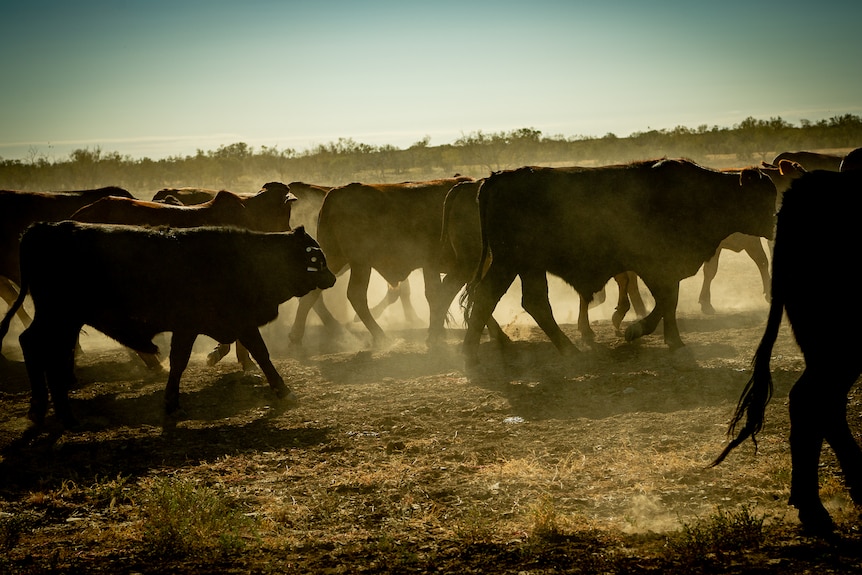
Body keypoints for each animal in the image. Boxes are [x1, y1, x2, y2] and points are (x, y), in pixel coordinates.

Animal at [0, 220, 336, 428]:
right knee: (41, 349)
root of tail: (42, 228)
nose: (332, 278)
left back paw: (43, 408)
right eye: (315, 256)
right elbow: (256, 354)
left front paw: (171, 401)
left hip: (62, 320)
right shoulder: (224, 323)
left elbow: (185, 362)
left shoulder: (203, 327)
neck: (245, 258)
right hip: (59, 317)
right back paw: (61, 413)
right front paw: (284, 390)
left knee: (40, 349)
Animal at [462, 159, 780, 364]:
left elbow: (670, 303)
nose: (777, 222)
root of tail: (496, 178)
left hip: (527, 266)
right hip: (511, 263)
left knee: (530, 302)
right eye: (761, 197)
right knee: (493, 298)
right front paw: (634, 330)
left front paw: (673, 341)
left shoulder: (668, 268)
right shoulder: (655, 267)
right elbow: (665, 301)